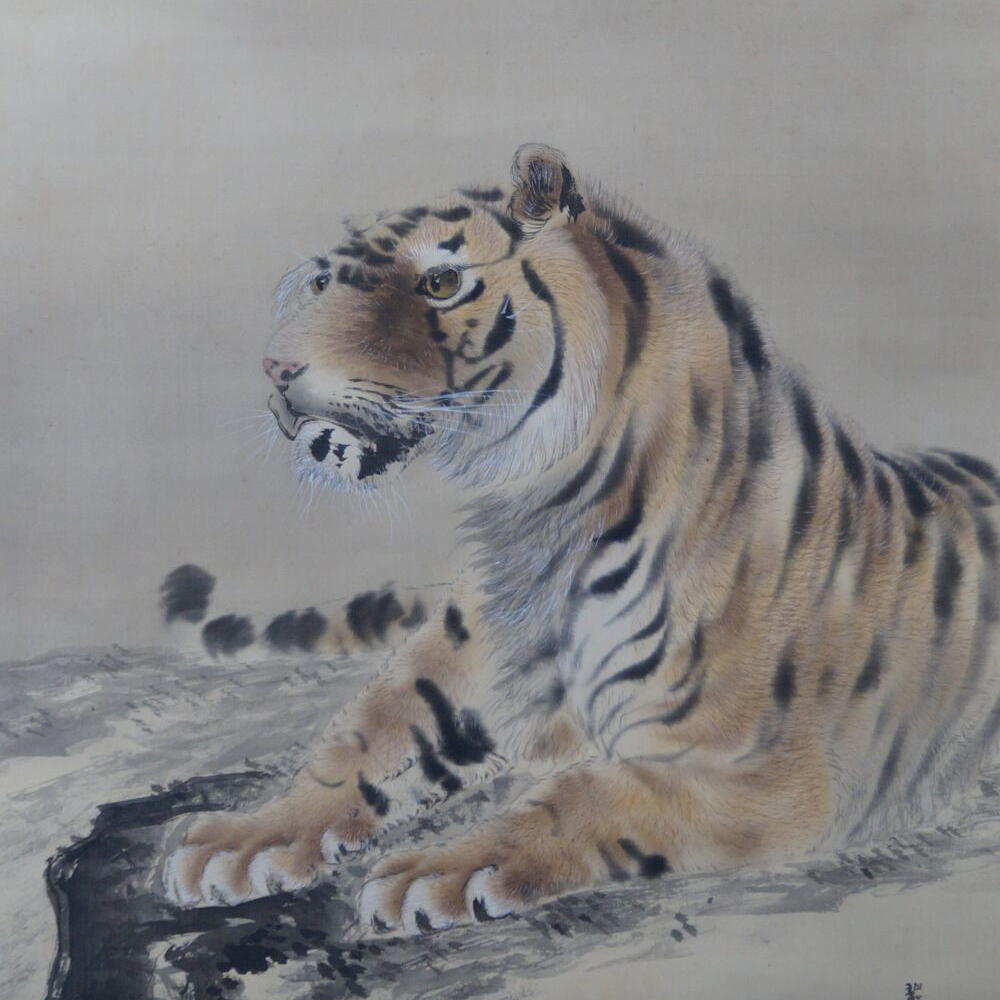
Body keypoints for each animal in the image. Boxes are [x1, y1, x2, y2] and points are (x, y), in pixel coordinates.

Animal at [162, 143, 1000, 935]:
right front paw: (238, 843)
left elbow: (589, 793)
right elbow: (361, 740)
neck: (540, 510)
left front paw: (436, 872)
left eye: (441, 283)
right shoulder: (472, 666)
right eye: (322, 285)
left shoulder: (767, 770)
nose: (276, 367)